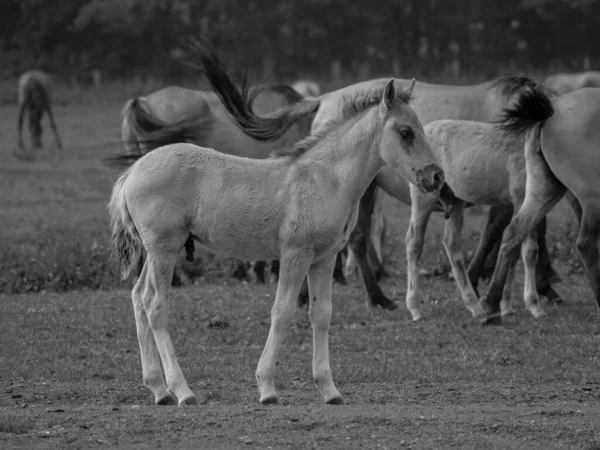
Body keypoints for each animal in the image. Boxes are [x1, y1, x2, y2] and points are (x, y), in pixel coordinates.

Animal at [108, 76, 446, 404]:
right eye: (405, 132)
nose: (437, 176)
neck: (327, 178)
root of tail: (132, 171)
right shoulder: (296, 253)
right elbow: (282, 311)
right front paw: (267, 387)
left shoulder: (325, 258)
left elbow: (321, 314)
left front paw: (329, 390)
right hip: (164, 250)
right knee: (155, 306)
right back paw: (181, 391)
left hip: (157, 252)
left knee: (138, 298)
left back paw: (158, 389)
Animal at [205, 71, 564, 316]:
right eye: (405, 132)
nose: (437, 176)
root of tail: (325, 98)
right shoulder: (510, 196)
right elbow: (511, 236)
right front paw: (509, 291)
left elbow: (521, 235)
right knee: (361, 239)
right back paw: (375, 296)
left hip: (367, 192)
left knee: (360, 238)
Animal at [480, 83, 600, 324]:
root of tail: (552, 111)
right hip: (593, 197)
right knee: (587, 243)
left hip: (543, 192)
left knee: (513, 234)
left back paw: (492, 307)